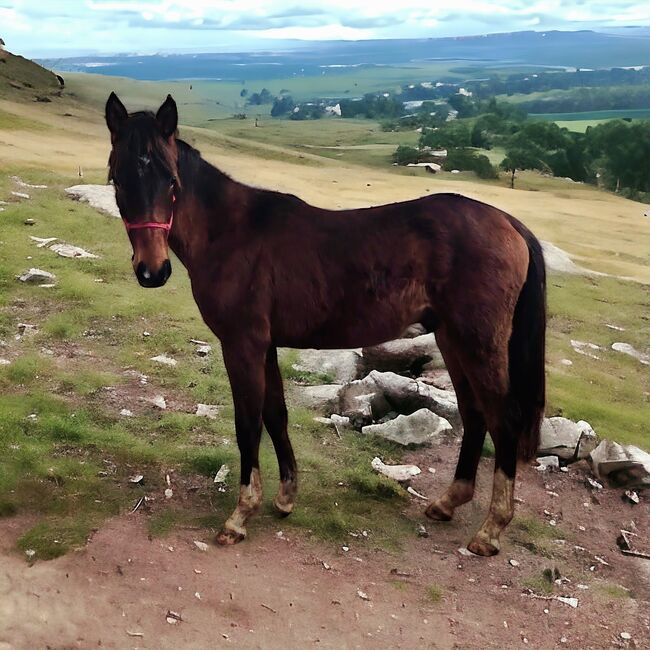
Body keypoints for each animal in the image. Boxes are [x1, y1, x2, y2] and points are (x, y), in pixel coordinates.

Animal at [104, 93, 544, 556]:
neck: (231, 233)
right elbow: (275, 415)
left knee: (503, 419)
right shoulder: (265, 345)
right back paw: (448, 502)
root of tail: (509, 223)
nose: (153, 271)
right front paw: (285, 497)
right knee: (476, 414)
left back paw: (491, 529)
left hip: (477, 341)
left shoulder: (242, 344)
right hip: (452, 338)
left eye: (171, 181)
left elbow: (248, 423)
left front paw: (240, 515)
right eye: (118, 179)